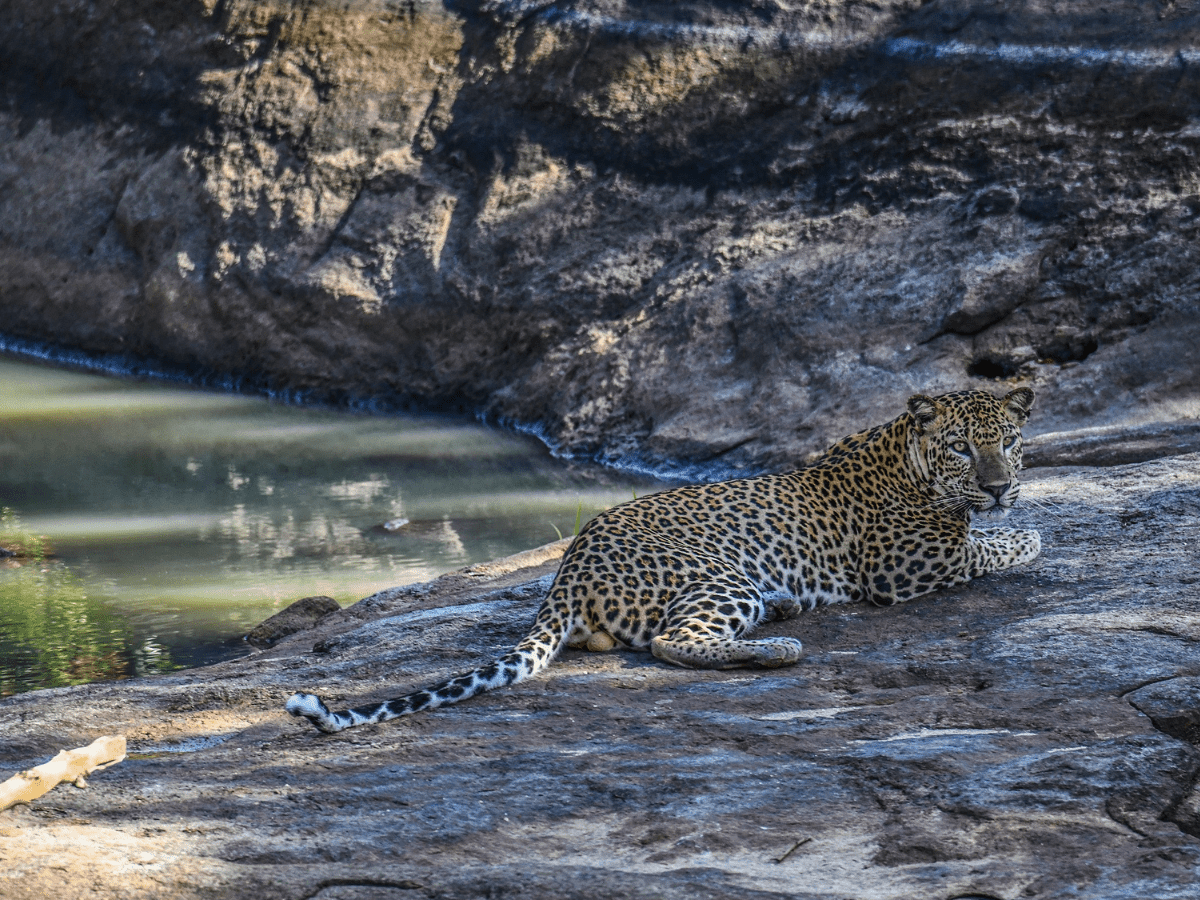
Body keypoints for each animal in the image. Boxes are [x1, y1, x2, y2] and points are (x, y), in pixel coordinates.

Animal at [285, 388, 1036, 734]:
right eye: (962, 448)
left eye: (1007, 442)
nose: (1001, 485)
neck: (905, 451)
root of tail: (568, 568)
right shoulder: (907, 562)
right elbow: (999, 543)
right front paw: (1024, 533)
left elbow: (993, 535)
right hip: (720, 577)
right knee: (672, 644)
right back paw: (777, 647)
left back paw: (781, 614)